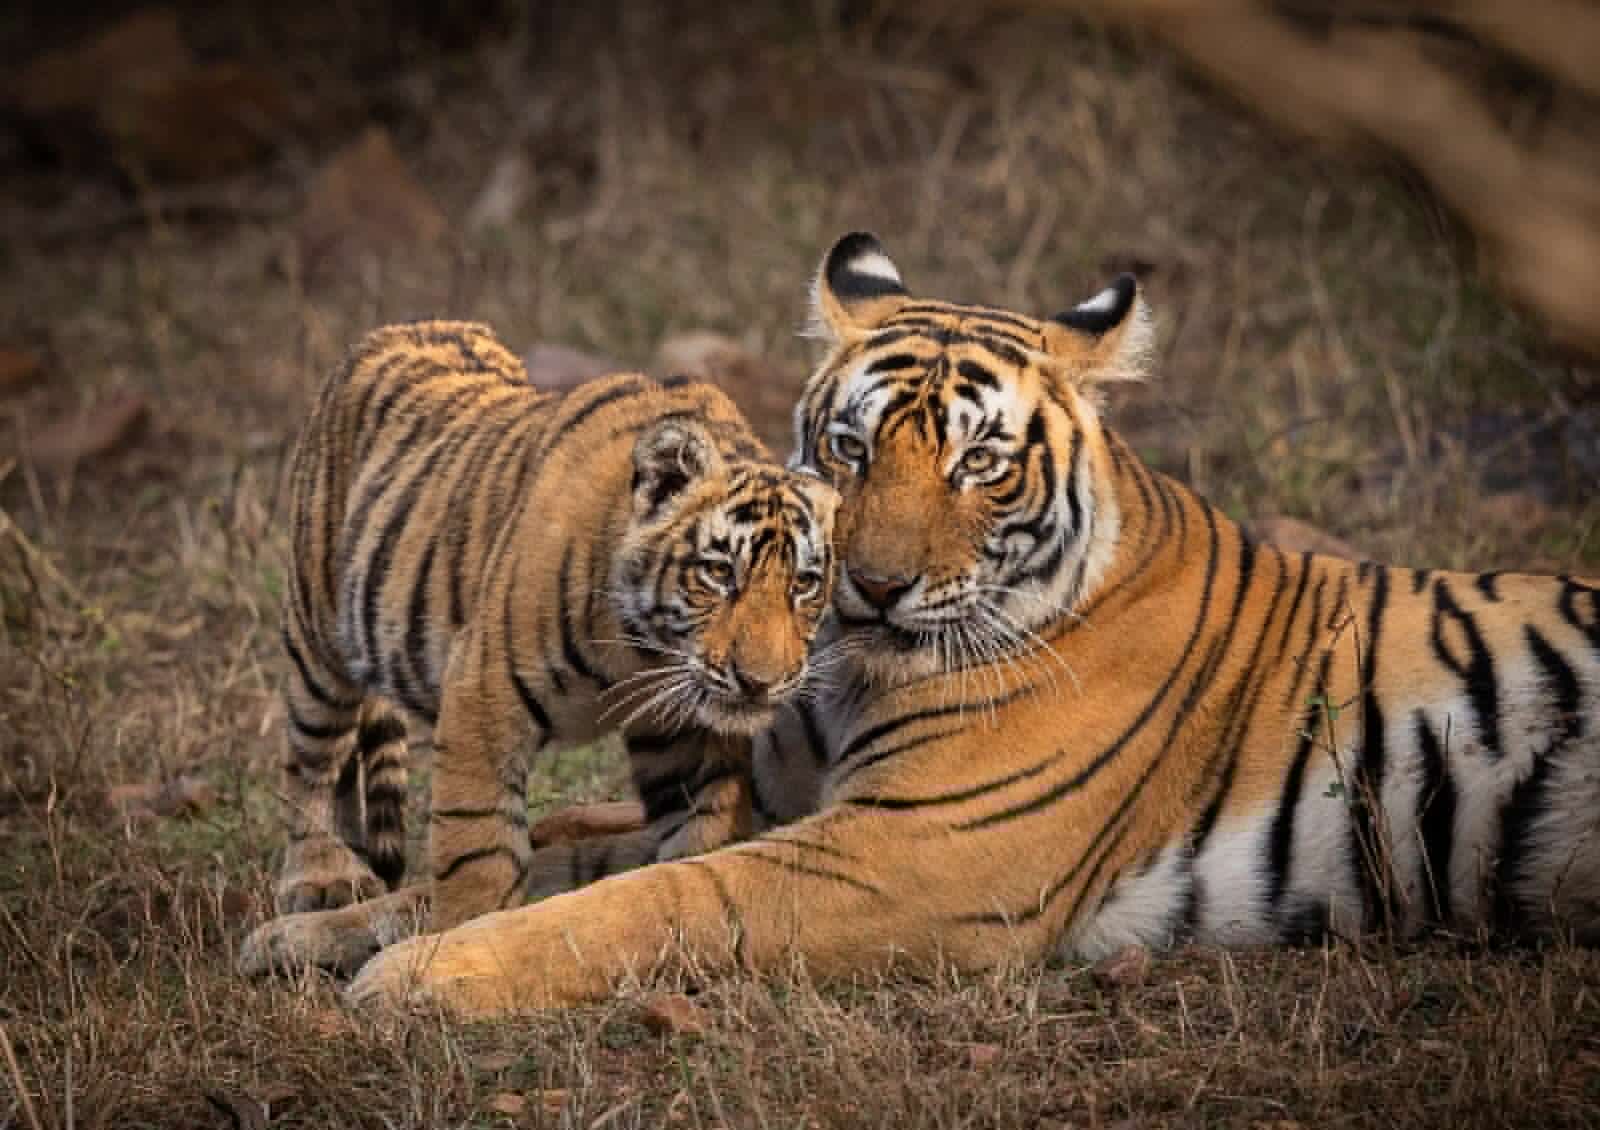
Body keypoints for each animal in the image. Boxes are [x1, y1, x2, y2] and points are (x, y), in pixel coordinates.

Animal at [236, 320, 838, 976]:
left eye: (804, 584)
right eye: (719, 572)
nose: (760, 682)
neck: (643, 650)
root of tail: (387, 332)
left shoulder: (684, 734)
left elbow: (699, 834)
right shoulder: (483, 691)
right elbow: (477, 848)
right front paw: (462, 944)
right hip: (318, 636)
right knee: (312, 759)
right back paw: (322, 877)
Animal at [345, 235, 1600, 1018]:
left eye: (978, 464)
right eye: (849, 447)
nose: (870, 586)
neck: (855, 677)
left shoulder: (906, 855)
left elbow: (653, 900)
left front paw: (414, 973)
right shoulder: (786, 798)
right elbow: (565, 844)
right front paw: (341, 922)